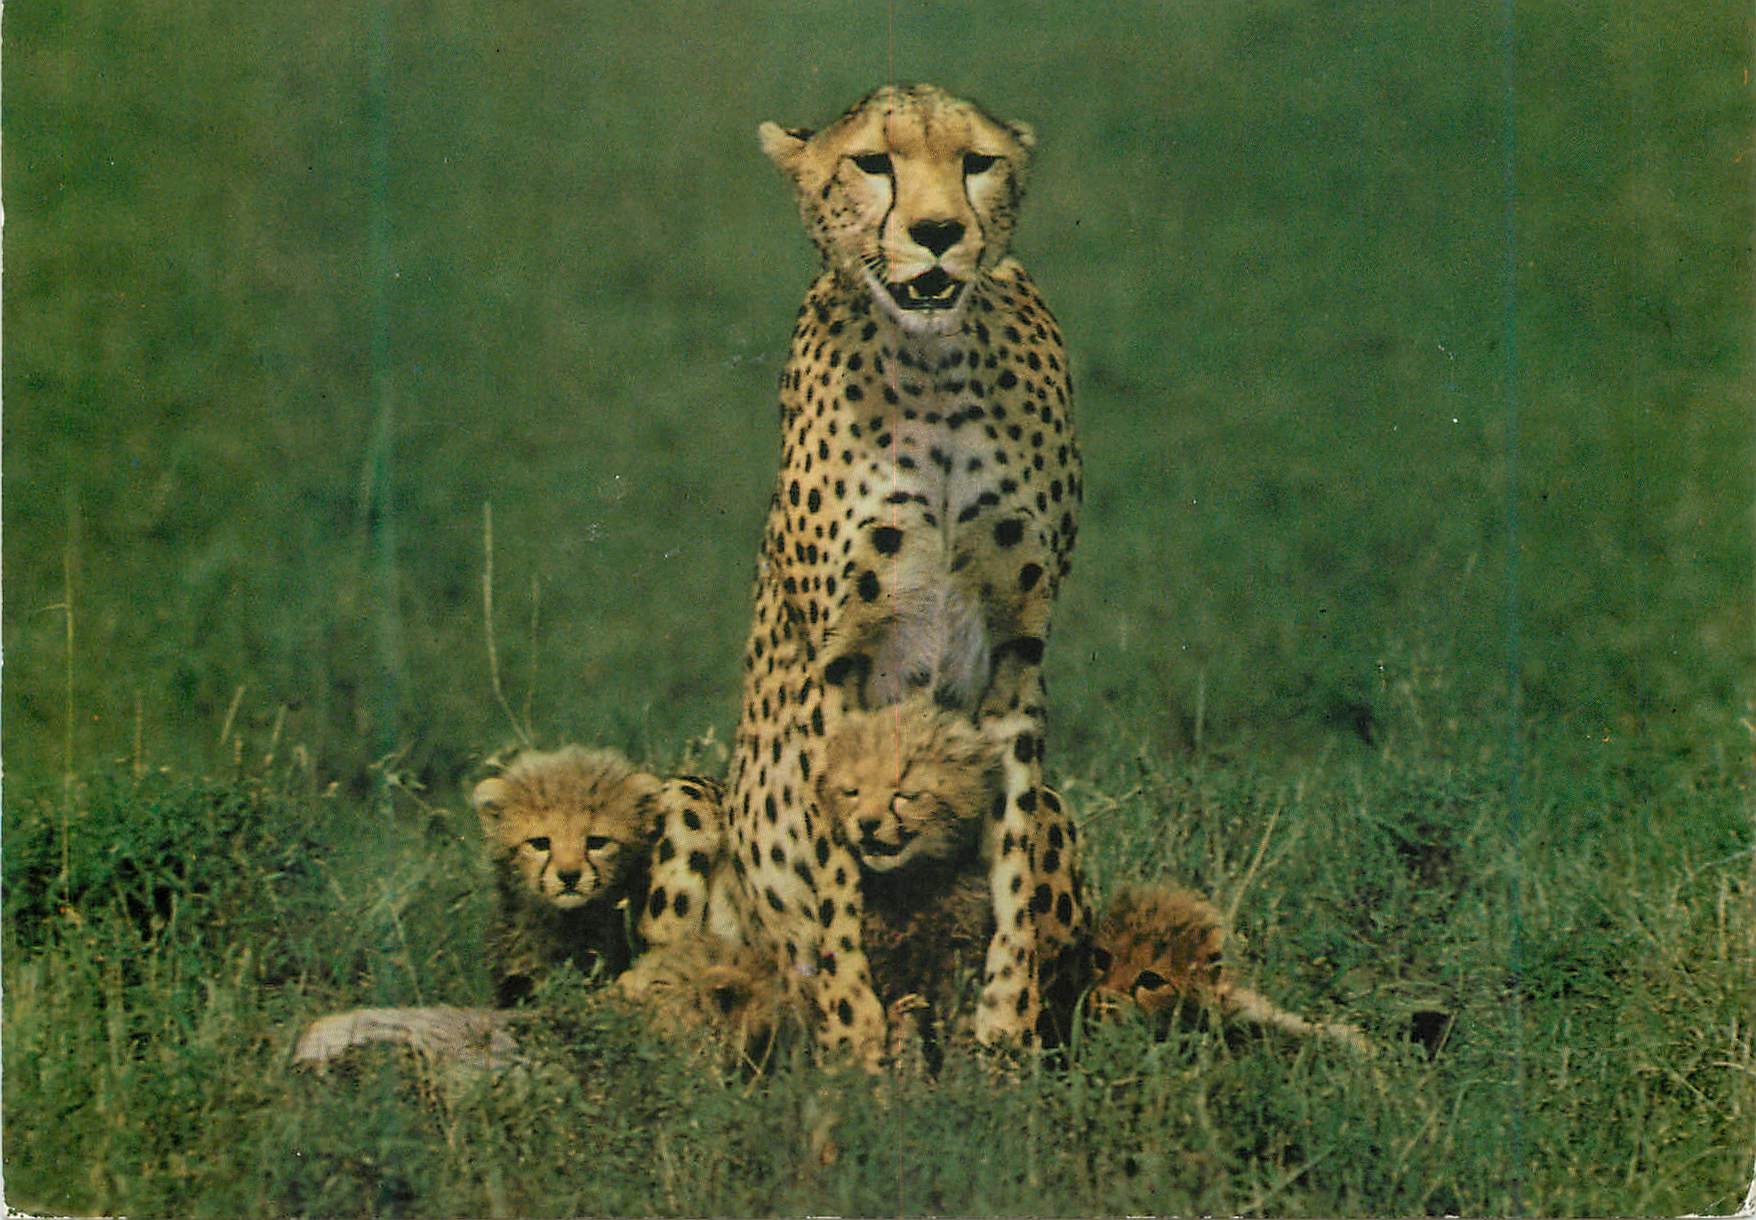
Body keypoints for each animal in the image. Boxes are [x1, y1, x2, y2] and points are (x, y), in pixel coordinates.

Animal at [728, 82, 1085, 1067]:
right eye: (873, 163)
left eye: (977, 162)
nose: (936, 232)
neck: (934, 370)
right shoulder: (838, 660)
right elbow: (835, 868)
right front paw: (857, 1039)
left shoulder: (1018, 648)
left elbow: (1012, 857)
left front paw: (1003, 1031)